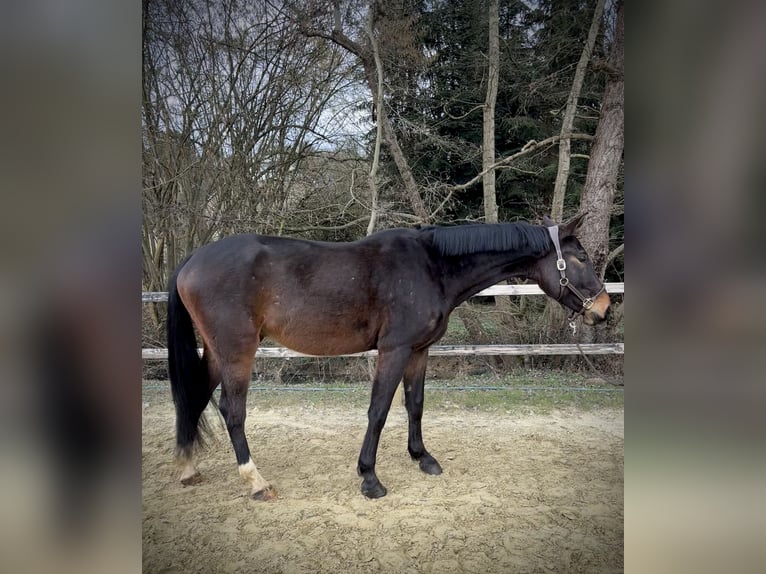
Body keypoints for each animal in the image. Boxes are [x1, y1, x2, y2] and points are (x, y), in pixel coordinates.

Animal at [168, 214, 612, 502]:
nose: (604, 309)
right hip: (237, 351)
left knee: (194, 397)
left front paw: (423, 458)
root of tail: (191, 260)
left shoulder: (418, 351)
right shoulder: (393, 350)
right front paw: (369, 478)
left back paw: (187, 469)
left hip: (216, 352)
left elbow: (415, 404)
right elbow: (379, 409)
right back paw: (256, 482)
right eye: (581, 258)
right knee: (232, 410)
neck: (431, 266)